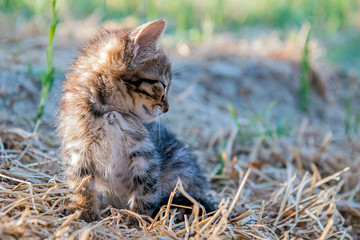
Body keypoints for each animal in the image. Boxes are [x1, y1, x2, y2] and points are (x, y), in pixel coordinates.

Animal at [56, 19, 214, 222]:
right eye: (162, 85)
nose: (167, 108)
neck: (111, 113)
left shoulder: (146, 156)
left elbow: (145, 191)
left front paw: (137, 219)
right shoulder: (78, 150)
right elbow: (82, 185)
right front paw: (83, 210)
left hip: (180, 167)